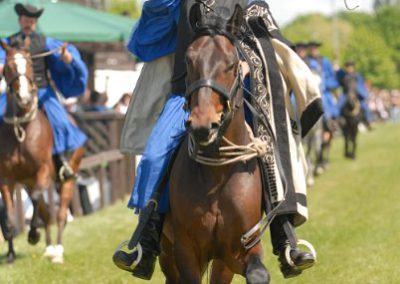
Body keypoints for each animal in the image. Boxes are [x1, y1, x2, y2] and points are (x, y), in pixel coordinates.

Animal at [0, 38, 84, 262]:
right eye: (8, 67)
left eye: (29, 64)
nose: (24, 98)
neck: (22, 128)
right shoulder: (7, 179)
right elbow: (9, 214)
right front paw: (10, 253)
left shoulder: (43, 171)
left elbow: (38, 200)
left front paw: (33, 235)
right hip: (28, 182)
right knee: (46, 212)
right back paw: (48, 247)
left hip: (66, 176)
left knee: (61, 213)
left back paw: (58, 250)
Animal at [159, 5, 268, 284]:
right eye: (189, 61)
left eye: (231, 64)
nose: (202, 124)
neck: (217, 173)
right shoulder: (185, 251)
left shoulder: (240, 248)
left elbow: (258, 273)